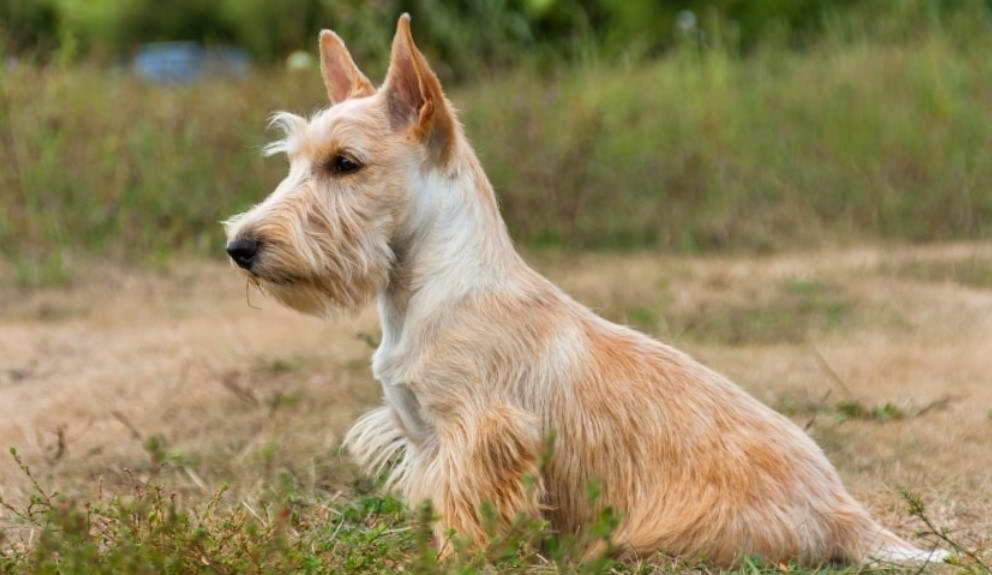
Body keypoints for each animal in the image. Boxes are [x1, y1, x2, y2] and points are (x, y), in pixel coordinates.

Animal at [223, 15, 944, 568]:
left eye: (346, 163)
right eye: (293, 162)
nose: (241, 248)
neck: (428, 292)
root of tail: (845, 512)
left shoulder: (482, 438)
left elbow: (469, 521)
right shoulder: (427, 441)